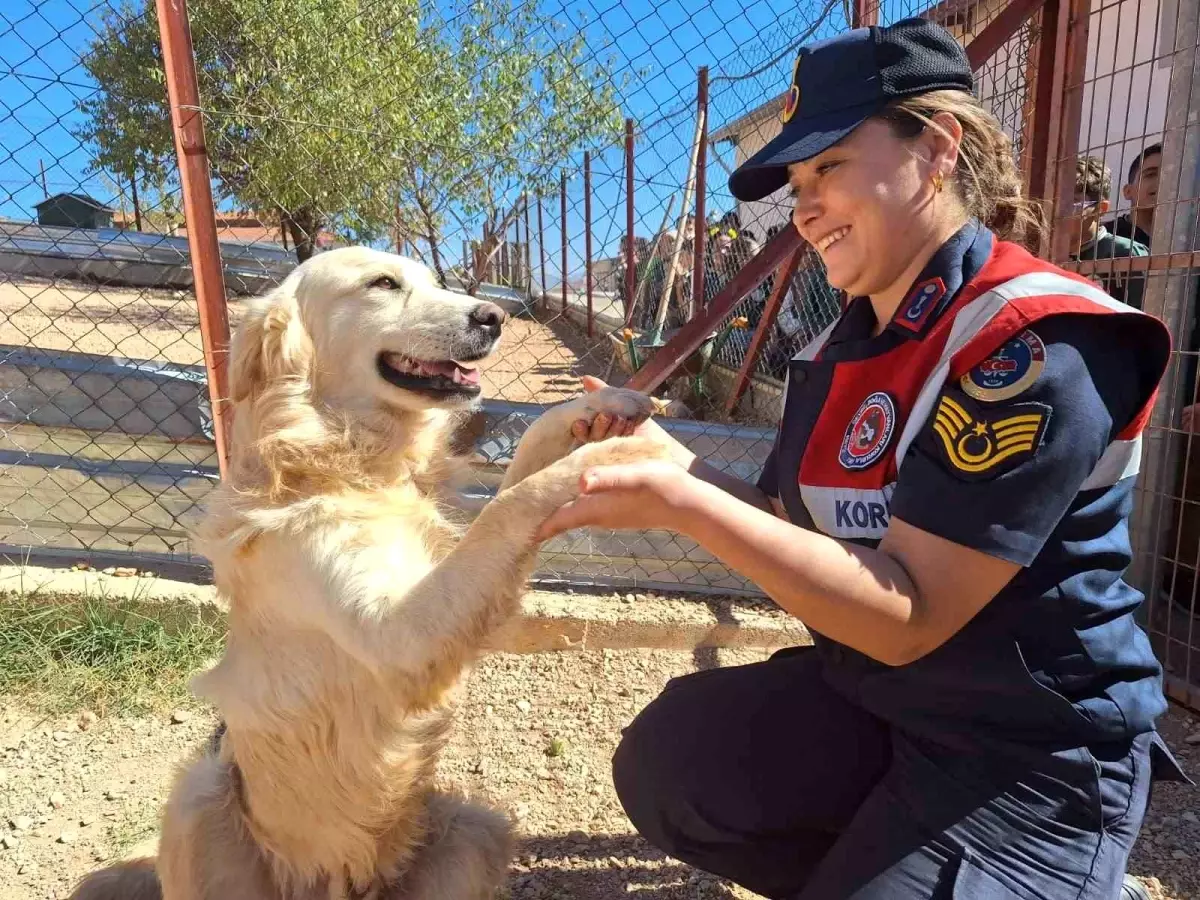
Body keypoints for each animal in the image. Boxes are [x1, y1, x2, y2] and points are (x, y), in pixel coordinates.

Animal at [72, 248, 667, 900]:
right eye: (382, 284)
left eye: (433, 281)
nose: (494, 317)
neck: (358, 463)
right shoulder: (399, 635)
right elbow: (512, 503)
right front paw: (611, 457)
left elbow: (522, 468)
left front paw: (600, 409)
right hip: (201, 794)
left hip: (475, 827)